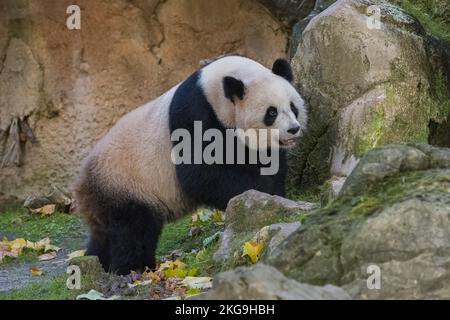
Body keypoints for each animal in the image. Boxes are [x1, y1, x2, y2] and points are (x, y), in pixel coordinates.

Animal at [74, 55, 308, 276]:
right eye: (271, 113)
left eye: (293, 107)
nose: (293, 129)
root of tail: (82, 184)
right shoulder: (194, 113)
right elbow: (200, 173)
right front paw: (260, 193)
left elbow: (268, 163)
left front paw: (275, 195)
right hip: (124, 181)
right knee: (131, 228)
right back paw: (131, 268)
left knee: (109, 234)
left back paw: (98, 261)